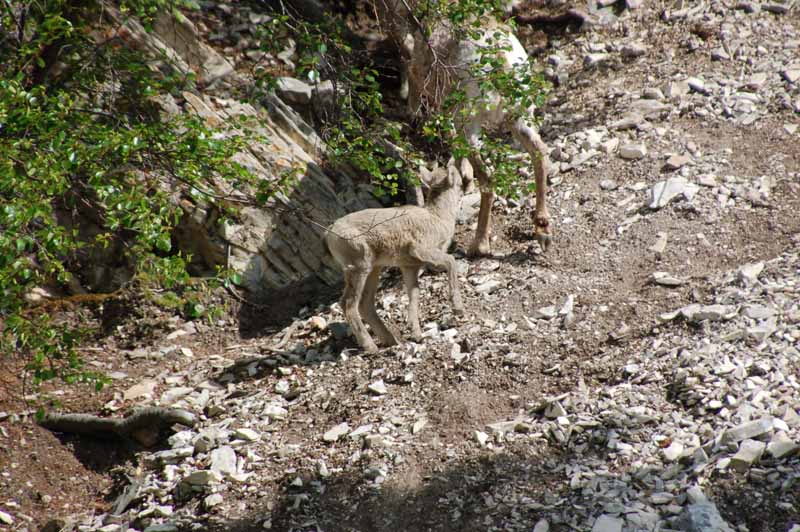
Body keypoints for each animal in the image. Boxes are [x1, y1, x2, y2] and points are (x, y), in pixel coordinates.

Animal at [326, 160, 468, 356]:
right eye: (459, 182)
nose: (465, 189)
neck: (438, 218)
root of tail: (329, 234)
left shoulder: (409, 267)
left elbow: (414, 295)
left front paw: (417, 335)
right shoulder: (422, 250)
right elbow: (451, 261)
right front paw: (458, 309)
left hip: (373, 270)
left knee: (365, 304)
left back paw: (391, 341)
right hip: (359, 267)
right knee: (348, 304)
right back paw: (371, 347)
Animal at [376, 0, 552, 256]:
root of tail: (501, 63)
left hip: (470, 122)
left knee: (488, 178)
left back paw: (478, 245)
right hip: (519, 117)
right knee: (539, 153)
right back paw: (543, 230)